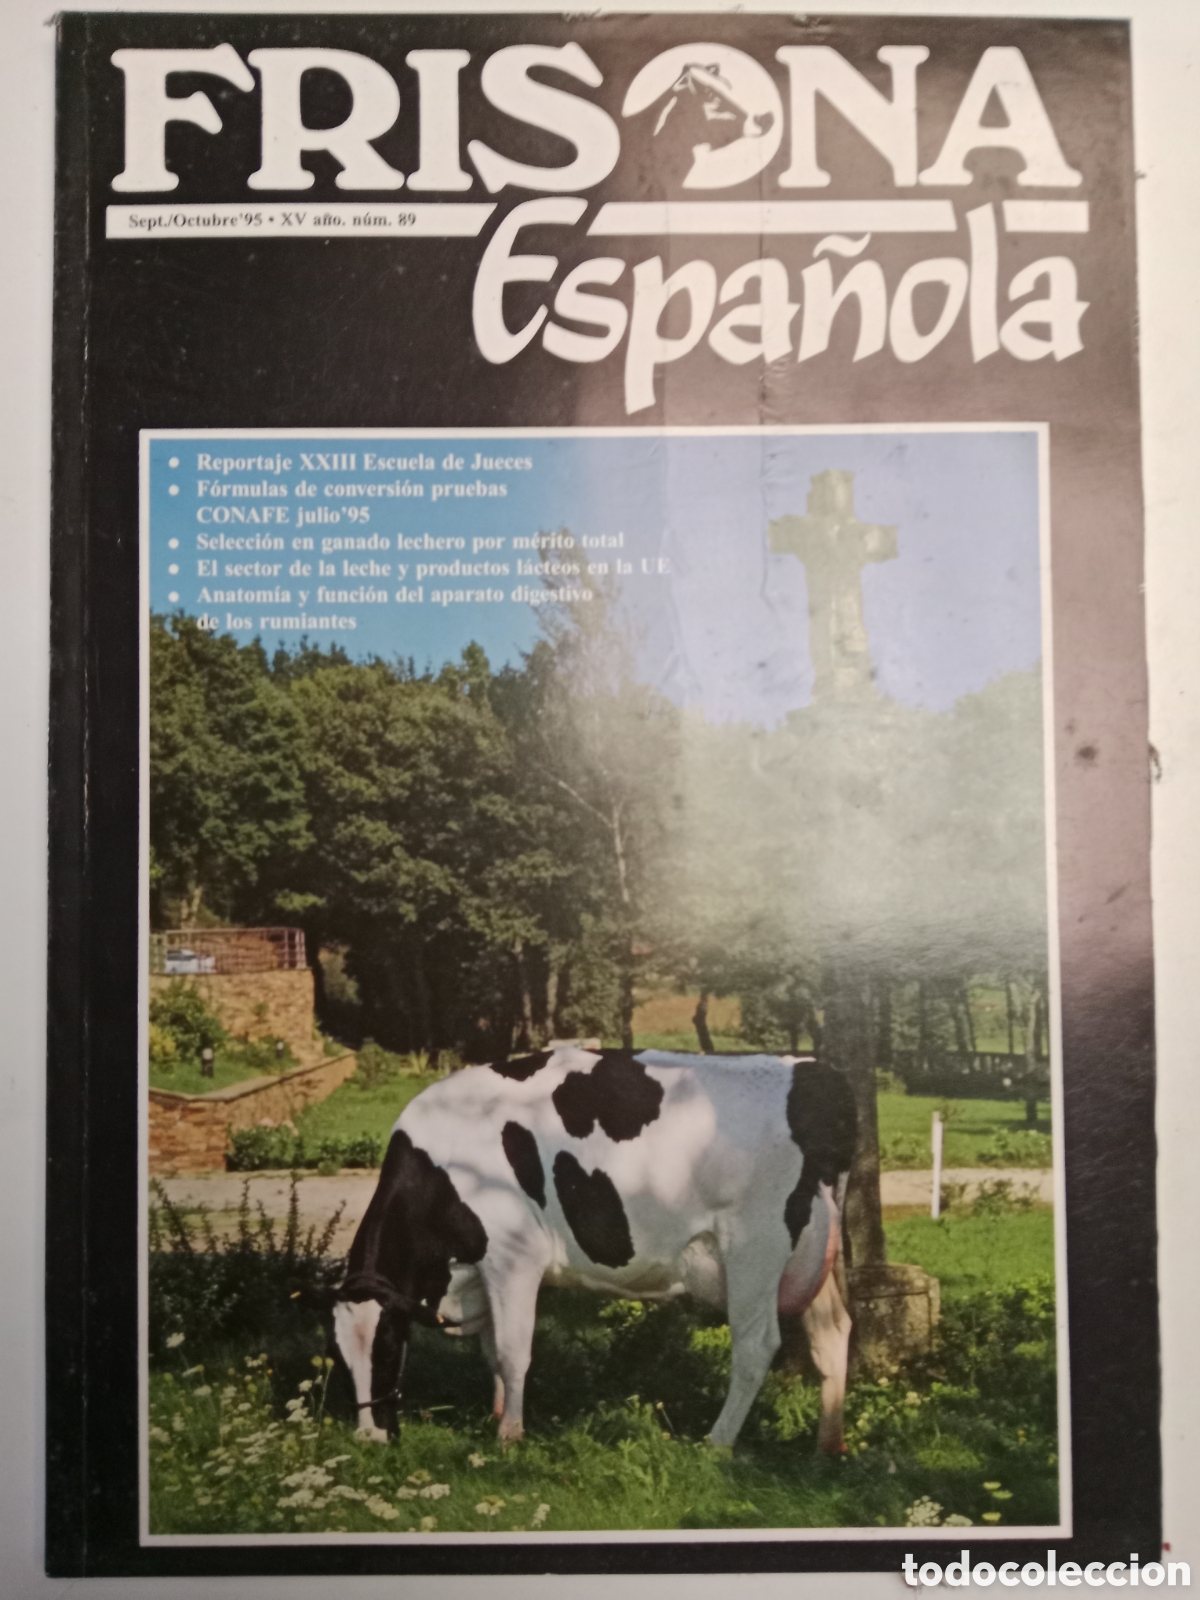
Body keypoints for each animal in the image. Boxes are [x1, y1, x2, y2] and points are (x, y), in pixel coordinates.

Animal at [331, 1047, 856, 1453]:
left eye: (387, 1347)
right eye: (339, 1358)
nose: (368, 1438)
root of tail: (817, 1071)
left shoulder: (514, 1255)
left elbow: (512, 1351)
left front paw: (509, 1436)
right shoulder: (483, 1271)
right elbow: (491, 1352)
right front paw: (497, 1413)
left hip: (755, 1248)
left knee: (755, 1345)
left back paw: (717, 1442)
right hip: (813, 1255)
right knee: (832, 1333)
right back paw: (828, 1447)